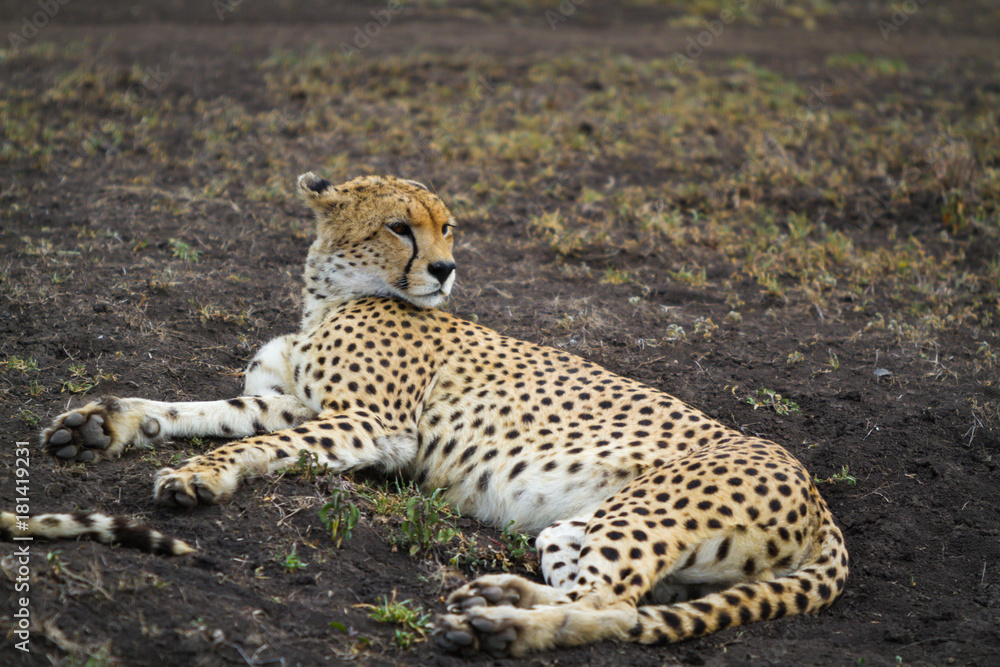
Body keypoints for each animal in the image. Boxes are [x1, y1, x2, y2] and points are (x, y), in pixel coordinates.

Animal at [23, 173, 848, 656]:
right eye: (399, 227)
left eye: (448, 228)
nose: (447, 269)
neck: (330, 295)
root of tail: (816, 494)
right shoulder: (288, 400)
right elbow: (204, 410)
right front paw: (100, 426)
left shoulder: (376, 428)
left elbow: (251, 444)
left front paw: (199, 476)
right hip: (573, 527)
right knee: (605, 595)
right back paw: (500, 597)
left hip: (645, 512)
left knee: (617, 608)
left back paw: (501, 627)